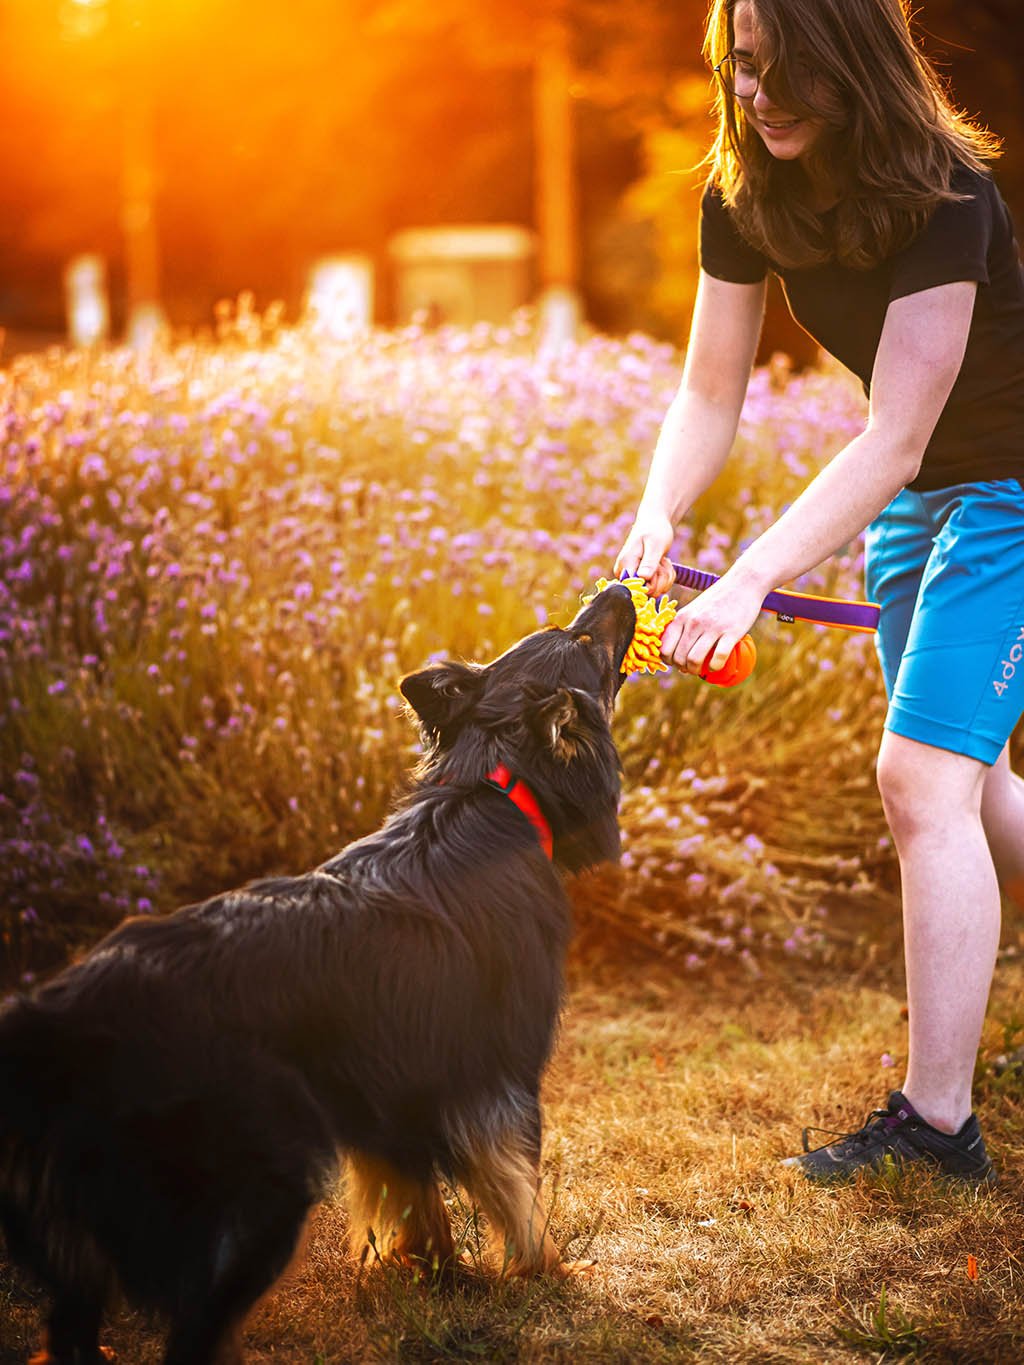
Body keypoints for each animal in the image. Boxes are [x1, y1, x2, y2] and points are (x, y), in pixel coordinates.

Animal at [0, 584, 638, 1365]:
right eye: (582, 641)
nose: (620, 588)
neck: (494, 784)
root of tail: (57, 1017)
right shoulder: (497, 1081)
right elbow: (519, 1189)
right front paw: (544, 1273)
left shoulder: (398, 1094)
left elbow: (418, 1199)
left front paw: (434, 1272)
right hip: (257, 1194)